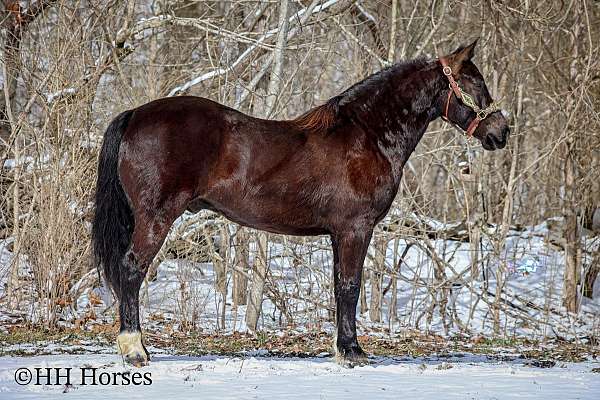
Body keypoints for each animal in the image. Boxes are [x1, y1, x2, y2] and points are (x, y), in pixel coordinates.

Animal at [91, 39, 508, 366]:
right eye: (473, 82)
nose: (501, 131)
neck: (366, 135)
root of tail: (135, 115)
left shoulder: (340, 234)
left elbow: (340, 286)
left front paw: (343, 348)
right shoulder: (355, 229)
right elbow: (350, 286)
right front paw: (352, 351)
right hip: (156, 218)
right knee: (132, 269)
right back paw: (135, 350)